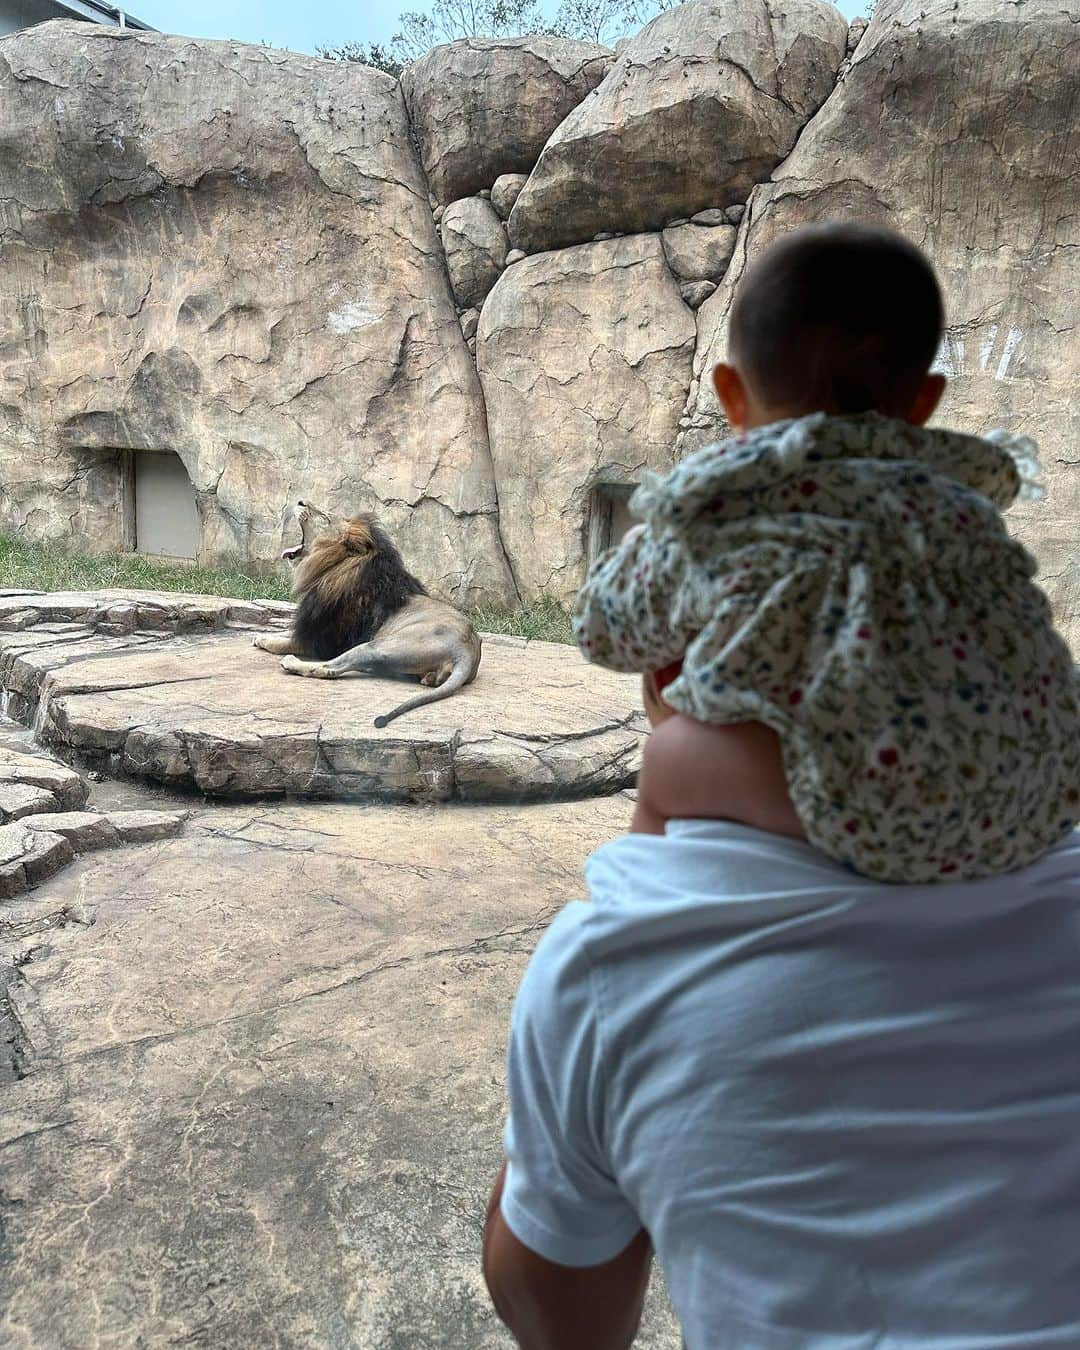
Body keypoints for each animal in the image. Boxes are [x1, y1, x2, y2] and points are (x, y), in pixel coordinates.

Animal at [253, 502, 480, 729]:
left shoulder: (327, 641)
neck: (331, 568)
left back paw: (291, 662)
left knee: (330, 668)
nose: (301, 502)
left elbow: (291, 642)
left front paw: (267, 641)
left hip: (375, 646)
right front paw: (262, 635)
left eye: (325, 517)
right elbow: (289, 632)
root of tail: (466, 651)